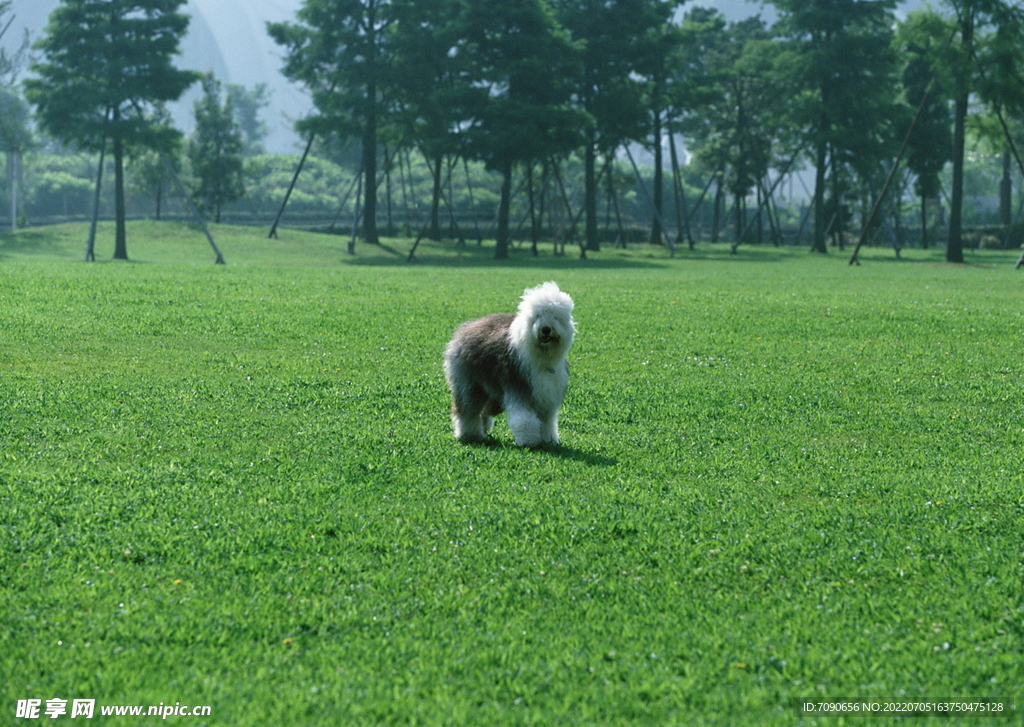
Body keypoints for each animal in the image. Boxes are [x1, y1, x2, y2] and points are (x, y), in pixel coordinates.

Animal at [444, 282, 577, 446]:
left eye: (555, 316)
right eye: (537, 316)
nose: (546, 329)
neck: (541, 356)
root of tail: (464, 328)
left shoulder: (547, 395)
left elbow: (548, 420)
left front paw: (549, 440)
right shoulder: (519, 387)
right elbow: (524, 418)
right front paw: (528, 441)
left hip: (493, 394)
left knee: (484, 410)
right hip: (470, 384)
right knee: (468, 410)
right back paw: (470, 434)